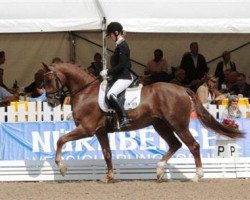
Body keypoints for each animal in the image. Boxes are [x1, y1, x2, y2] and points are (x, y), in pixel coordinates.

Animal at [42, 62, 243, 183]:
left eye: (50, 79)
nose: (50, 102)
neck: (86, 91)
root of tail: (182, 88)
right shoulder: (100, 131)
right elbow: (107, 154)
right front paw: (109, 177)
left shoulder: (87, 129)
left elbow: (60, 140)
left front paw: (62, 168)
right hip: (160, 125)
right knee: (175, 144)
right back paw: (160, 171)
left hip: (178, 125)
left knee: (193, 145)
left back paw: (196, 176)